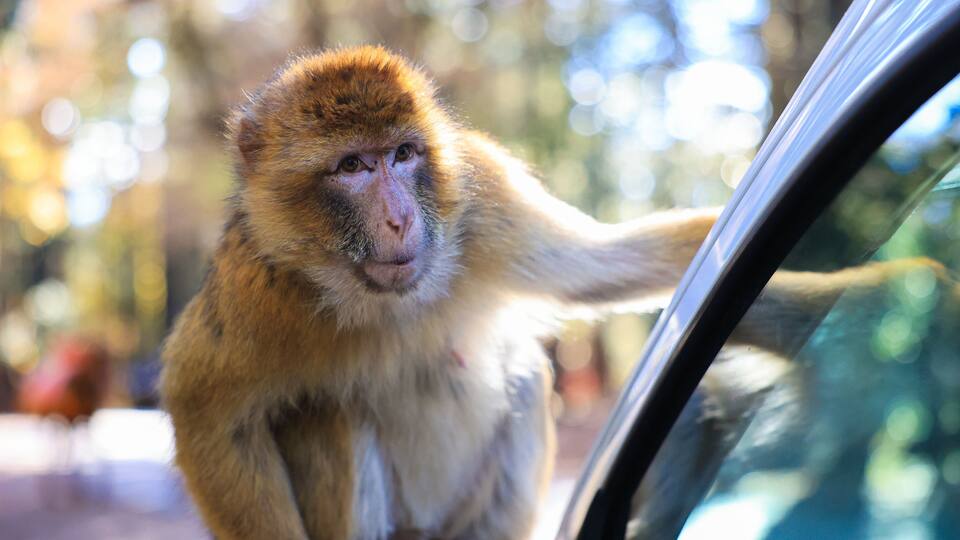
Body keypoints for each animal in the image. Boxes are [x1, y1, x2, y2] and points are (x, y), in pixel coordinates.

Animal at [160, 46, 954, 540]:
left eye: (405, 154)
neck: (388, 300)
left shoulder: (482, 202)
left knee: (523, 378)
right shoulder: (259, 285)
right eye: (353, 166)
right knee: (329, 415)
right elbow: (208, 412)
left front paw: (895, 294)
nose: (400, 217)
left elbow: (614, 264)